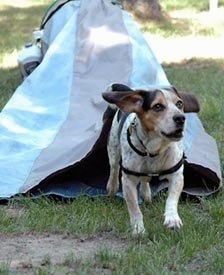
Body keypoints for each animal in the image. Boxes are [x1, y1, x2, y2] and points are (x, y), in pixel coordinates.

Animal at [101, 84, 200, 235]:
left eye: (179, 103)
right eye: (158, 106)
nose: (180, 118)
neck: (154, 149)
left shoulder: (177, 176)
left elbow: (171, 199)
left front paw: (172, 218)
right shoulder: (128, 181)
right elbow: (134, 208)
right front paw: (138, 228)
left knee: (144, 179)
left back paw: (146, 193)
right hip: (113, 148)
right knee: (114, 168)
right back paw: (112, 187)